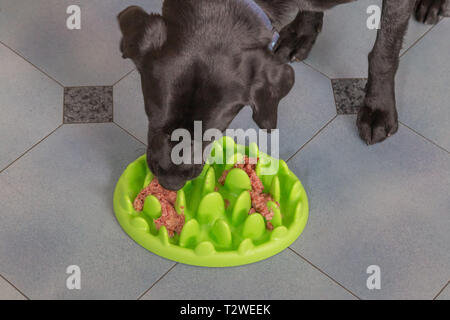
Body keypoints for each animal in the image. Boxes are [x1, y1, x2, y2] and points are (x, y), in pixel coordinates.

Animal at [118, 0, 448, 190]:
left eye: (212, 133)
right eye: (150, 117)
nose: (170, 183)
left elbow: (385, 50)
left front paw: (377, 109)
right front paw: (303, 31)